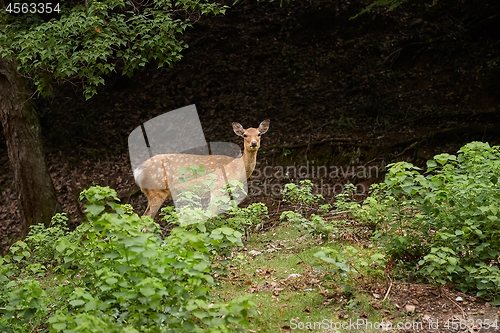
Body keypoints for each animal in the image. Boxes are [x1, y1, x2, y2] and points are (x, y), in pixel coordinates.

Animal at [134, 119, 270, 218]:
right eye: (245, 135)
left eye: (259, 134)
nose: (254, 143)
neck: (236, 168)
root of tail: (137, 171)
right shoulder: (217, 187)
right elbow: (211, 213)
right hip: (157, 190)